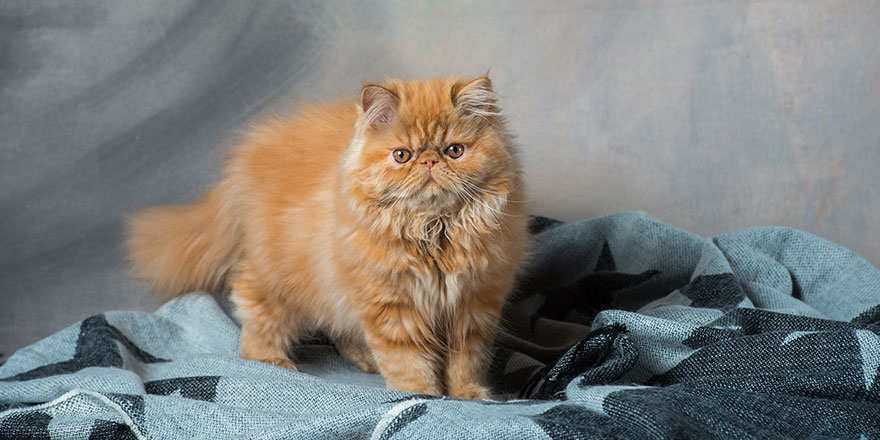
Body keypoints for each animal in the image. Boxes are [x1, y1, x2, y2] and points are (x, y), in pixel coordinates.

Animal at [124, 73, 528, 398]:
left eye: (455, 151)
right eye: (402, 155)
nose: (429, 161)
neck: (432, 229)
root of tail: (249, 157)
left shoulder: (474, 306)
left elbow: (466, 362)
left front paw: (469, 395)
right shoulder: (391, 305)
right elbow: (409, 362)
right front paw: (423, 397)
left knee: (339, 328)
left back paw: (364, 360)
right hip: (281, 278)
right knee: (253, 316)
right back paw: (272, 361)